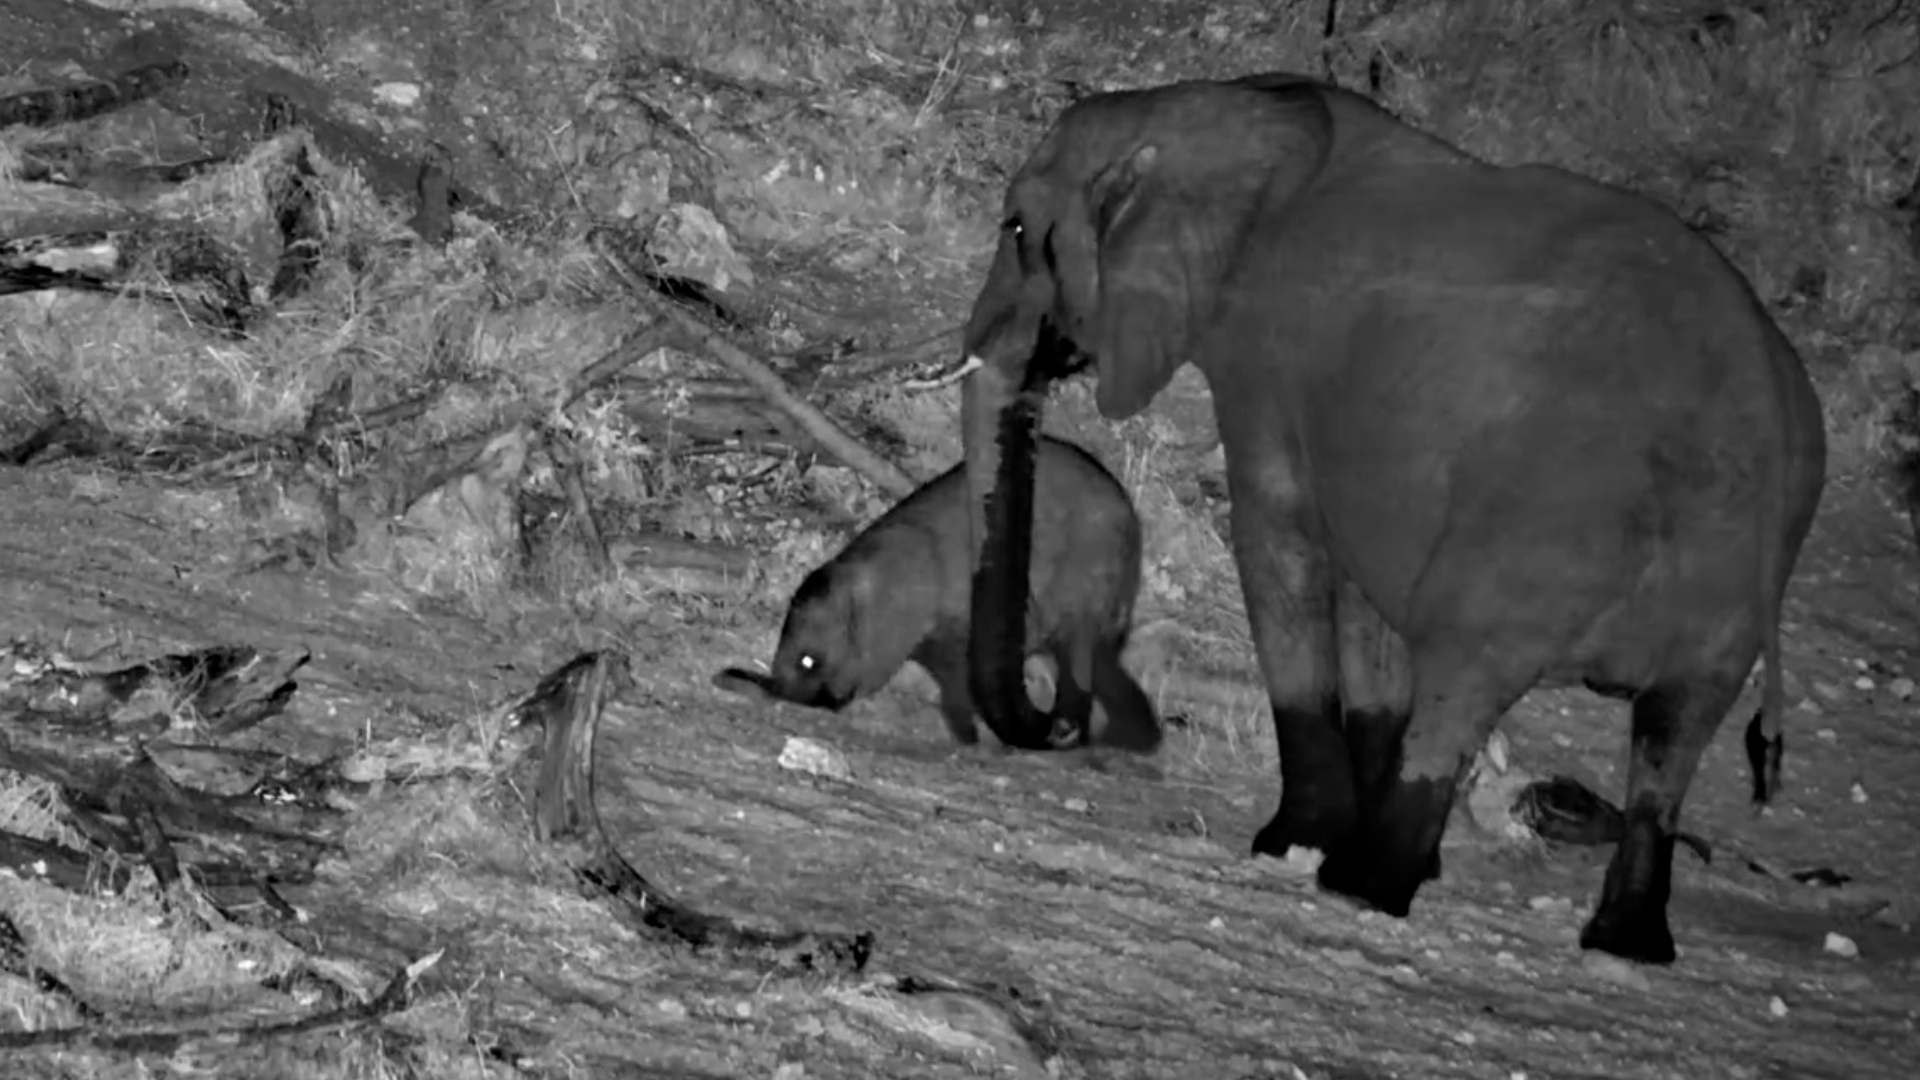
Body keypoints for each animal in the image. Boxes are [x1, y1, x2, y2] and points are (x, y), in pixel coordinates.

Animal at [929, 72, 1828, 965]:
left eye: (1017, 228)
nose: (1051, 719)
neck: (1235, 114)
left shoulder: (1268, 359)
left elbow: (1280, 541)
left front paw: (1289, 843)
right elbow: (1368, 610)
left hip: (1554, 517)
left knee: (1470, 668)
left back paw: (1365, 885)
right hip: (1734, 567)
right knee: (1676, 727)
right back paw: (1621, 942)